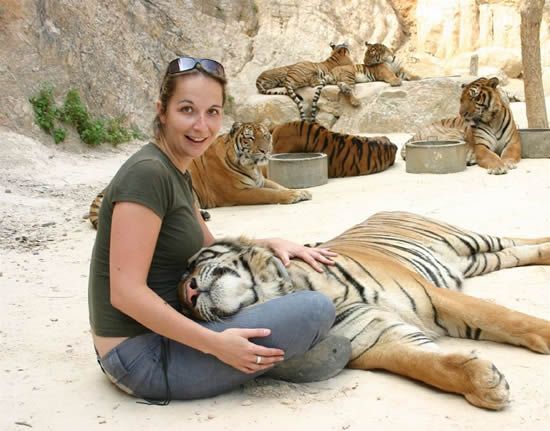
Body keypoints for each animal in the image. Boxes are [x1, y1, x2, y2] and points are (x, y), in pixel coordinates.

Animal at [180, 213, 550, 412]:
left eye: (192, 264)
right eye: (183, 308)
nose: (189, 293)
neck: (291, 290)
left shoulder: (433, 296)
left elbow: (505, 318)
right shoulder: (380, 339)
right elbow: (430, 366)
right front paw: (485, 384)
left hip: (467, 239)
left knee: (516, 239)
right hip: (477, 260)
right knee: (514, 252)